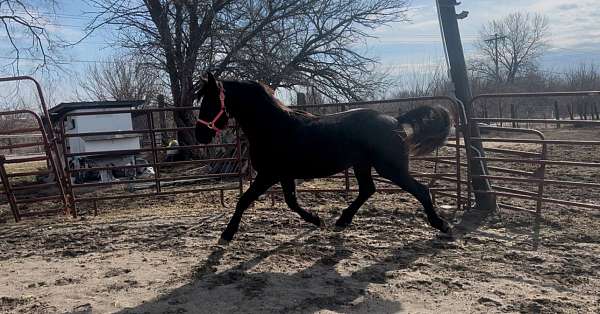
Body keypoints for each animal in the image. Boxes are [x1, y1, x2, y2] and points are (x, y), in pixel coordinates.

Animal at [195, 73, 452, 243]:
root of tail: (396, 121)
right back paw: (341, 221)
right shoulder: (284, 175)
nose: (200, 134)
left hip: (390, 168)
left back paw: (442, 225)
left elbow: (244, 200)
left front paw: (226, 234)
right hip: (362, 165)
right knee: (367, 190)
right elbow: (291, 202)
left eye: (210, 102)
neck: (273, 127)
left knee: (421, 190)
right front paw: (318, 220)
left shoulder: (269, 175)